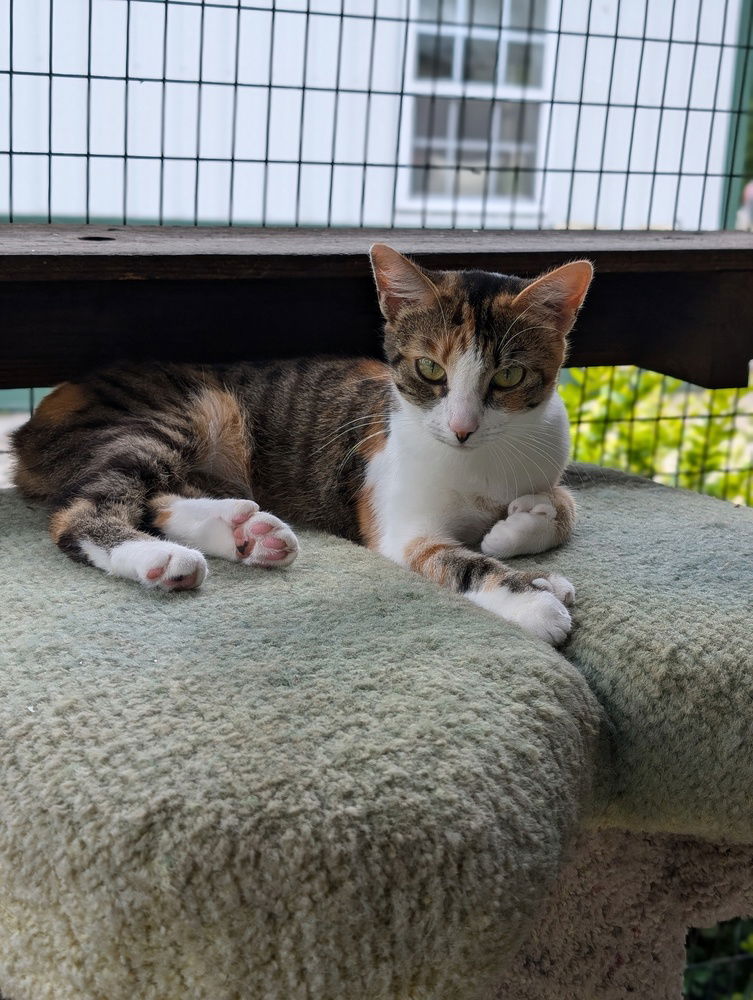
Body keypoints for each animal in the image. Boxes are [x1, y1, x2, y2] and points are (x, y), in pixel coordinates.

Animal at [8, 245, 592, 644]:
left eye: (509, 376)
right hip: (175, 414)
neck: (482, 461)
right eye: (430, 369)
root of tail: (33, 423)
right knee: (85, 510)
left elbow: (562, 503)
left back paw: (246, 533)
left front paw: (522, 537)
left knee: (155, 497)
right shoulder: (401, 528)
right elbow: (457, 560)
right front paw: (532, 598)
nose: (463, 428)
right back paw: (162, 556)